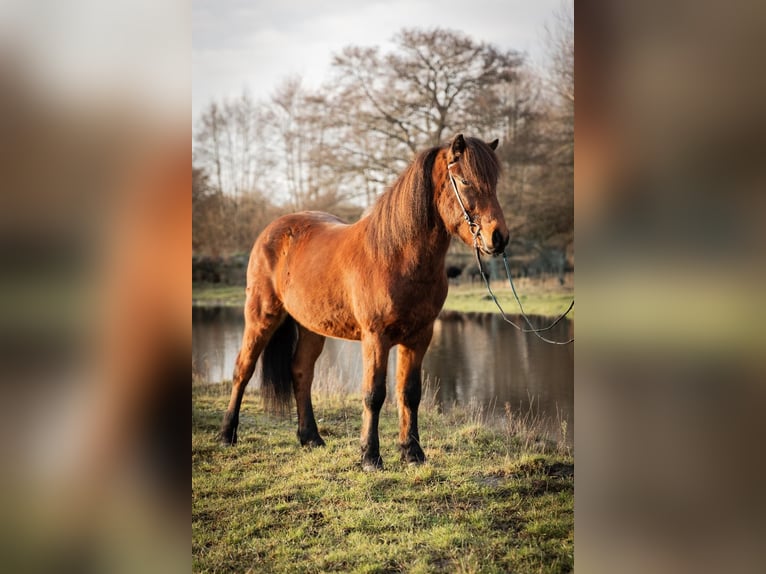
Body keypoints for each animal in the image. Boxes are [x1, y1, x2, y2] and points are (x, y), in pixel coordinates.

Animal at [219, 134, 508, 471]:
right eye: (464, 180)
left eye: (495, 182)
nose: (498, 237)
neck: (395, 256)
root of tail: (272, 230)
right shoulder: (375, 338)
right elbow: (374, 393)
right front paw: (370, 456)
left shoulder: (419, 336)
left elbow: (409, 393)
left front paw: (412, 452)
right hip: (261, 316)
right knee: (243, 369)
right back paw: (227, 434)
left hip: (311, 327)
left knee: (301, 371)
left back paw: (311, 438)